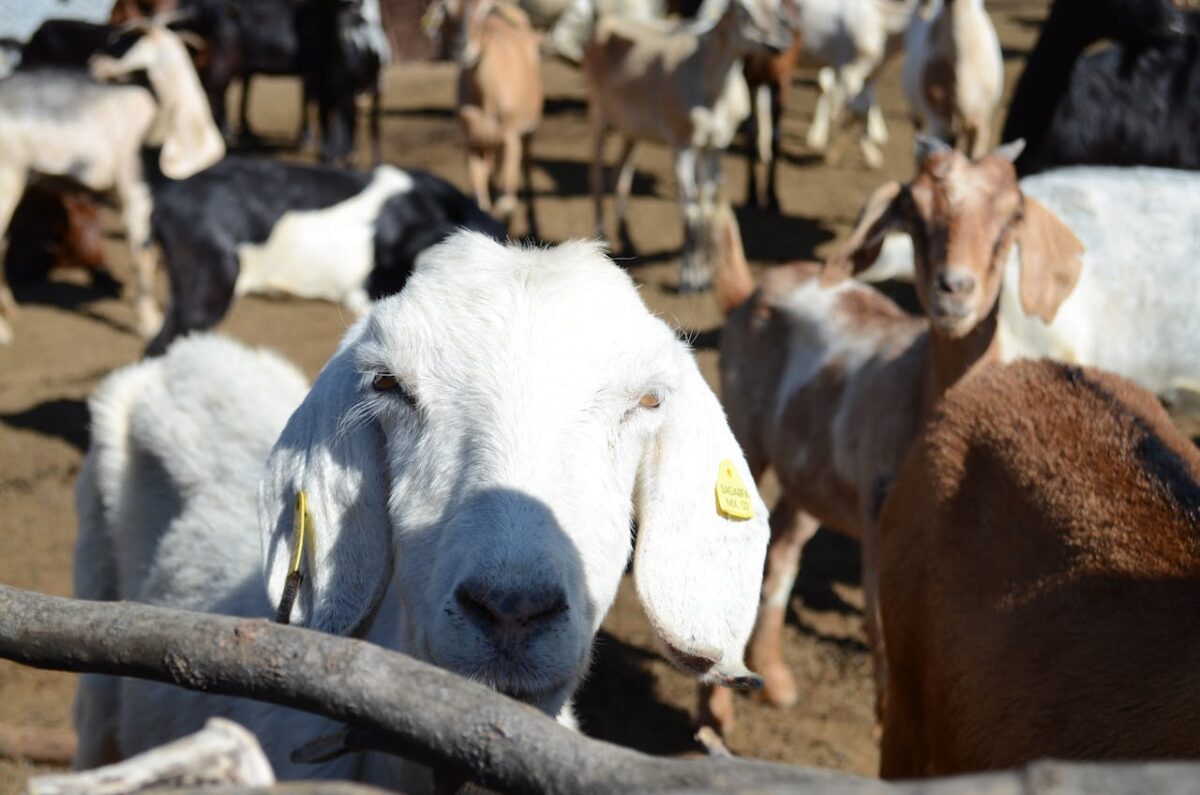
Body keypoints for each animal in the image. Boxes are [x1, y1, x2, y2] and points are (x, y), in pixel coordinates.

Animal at [0, 23, 224, 345]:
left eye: (121, 43)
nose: (93, 63)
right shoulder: (136, 194)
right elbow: (144, 257)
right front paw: (149, 323)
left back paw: (11, 310)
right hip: (7, 180)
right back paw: (3, 331)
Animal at [583, 0, 786, 292]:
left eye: (777, 6)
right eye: (743, 10)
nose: (780, 43)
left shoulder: (714, 146)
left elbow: (705, 206)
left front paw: (705, 275)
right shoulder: (683, 146)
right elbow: (689, 208)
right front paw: (690, 278)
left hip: (632, 130)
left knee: (620, 172)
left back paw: (626, 239)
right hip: (598, 113)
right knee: (597, 177)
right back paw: (601, 240)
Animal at [700, 137, 1084, 736]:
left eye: (1012, 218)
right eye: (915, 213)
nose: (955, 290)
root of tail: (749, 290)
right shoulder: (884, 537)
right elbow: (887, 656)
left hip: (818, 475)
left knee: (783, 544)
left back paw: (776, 680)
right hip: (744, 430)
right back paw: (716, 715)